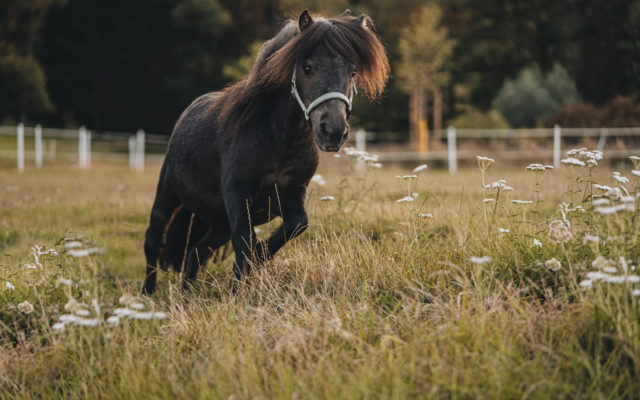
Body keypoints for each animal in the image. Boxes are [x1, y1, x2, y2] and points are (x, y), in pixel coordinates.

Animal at [141, 9, 390, 294]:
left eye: (352, 71)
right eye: (307, 68)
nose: (334, 131)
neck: (279, 139)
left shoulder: (293, 192)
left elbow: (296, 225)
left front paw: (258, 260)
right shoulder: (238, 194)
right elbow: (244, 241)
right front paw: (237, 293)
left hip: (218, 221)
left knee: (196, 252)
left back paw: (187, 294)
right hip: (167, 196)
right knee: (153, 240)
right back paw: (148, 294)